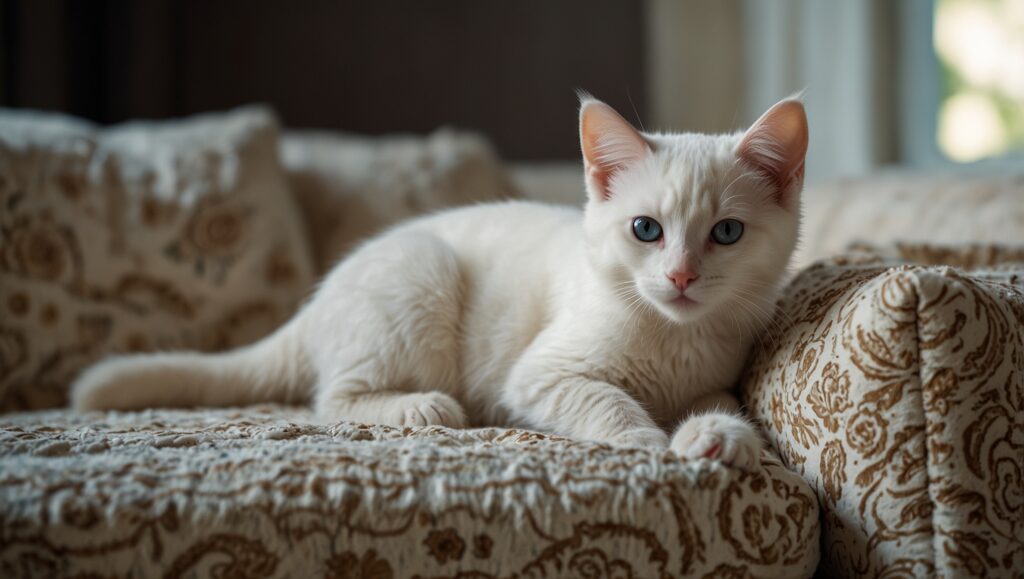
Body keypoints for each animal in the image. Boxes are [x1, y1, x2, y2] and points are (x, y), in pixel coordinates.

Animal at [74, 92, 806, 467]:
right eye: (645, 229)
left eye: (727, 234)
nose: (681, 275)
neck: (673, 333)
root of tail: (321, 299)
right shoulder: (541, 373)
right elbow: (605, 399)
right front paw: (648, 440)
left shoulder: (713, 371)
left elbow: (720, 399)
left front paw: (717, 435)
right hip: (420, 275)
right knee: (333, 397)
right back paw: (420, 406)